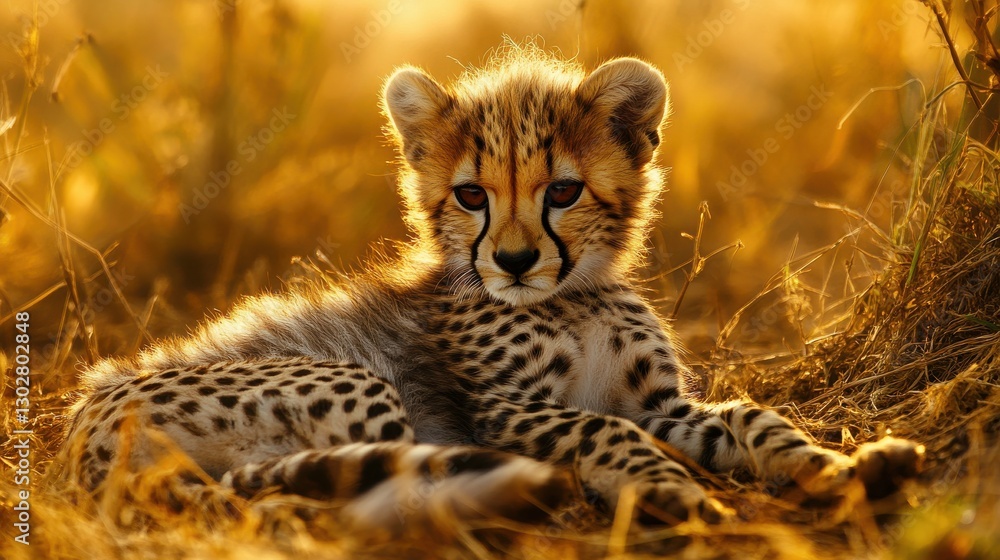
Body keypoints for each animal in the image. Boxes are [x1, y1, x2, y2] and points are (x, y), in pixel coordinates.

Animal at [55, 45, 924, 527]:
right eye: (471, 196)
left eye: (563, 192)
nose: (511, 262)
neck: (571, 298)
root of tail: (76, 430)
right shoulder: (503, 407)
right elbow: (603, 431)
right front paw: (664, 490)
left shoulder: (657, 401)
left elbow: (752, 417)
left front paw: (841, 464)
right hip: (358, 383)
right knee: (382, 483)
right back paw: (516, 491)